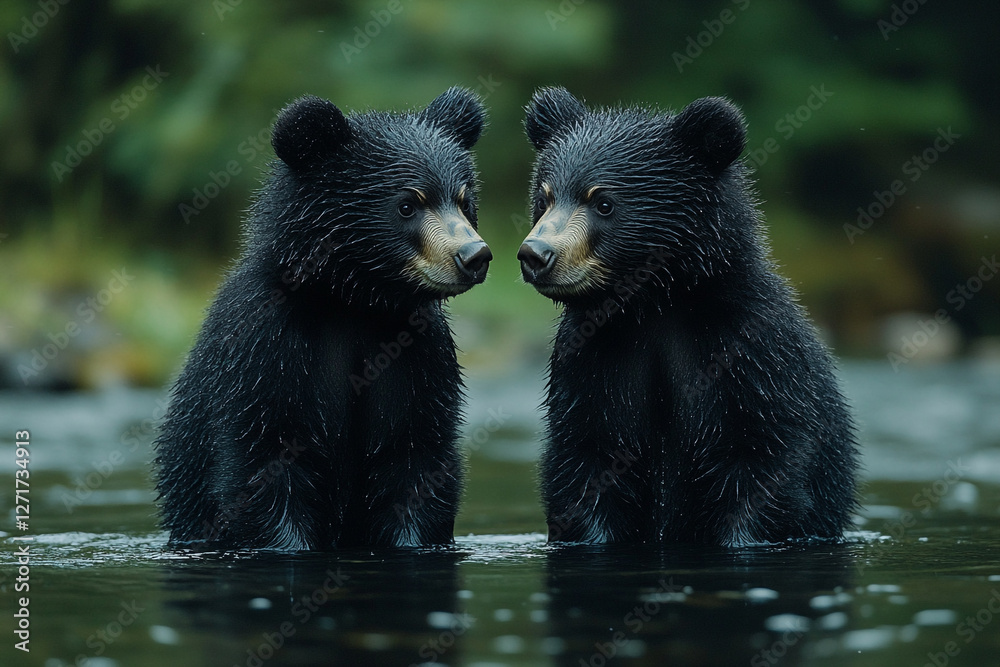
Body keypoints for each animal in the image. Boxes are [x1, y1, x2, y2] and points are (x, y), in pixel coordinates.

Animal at [154, 87, 491, 550]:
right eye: (408, 204)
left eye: (463, 199)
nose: (474, 256)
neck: (351, 301)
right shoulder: (266, 350)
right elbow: (261, 466)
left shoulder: (418, 353)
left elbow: (414, 458)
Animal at [517, 87, 858, 546]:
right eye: (545, 197)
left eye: (603, 202)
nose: (536, 255)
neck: (656, 304)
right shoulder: (592, 361)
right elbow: (586, 461)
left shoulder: (751, 356)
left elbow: (764, 461)